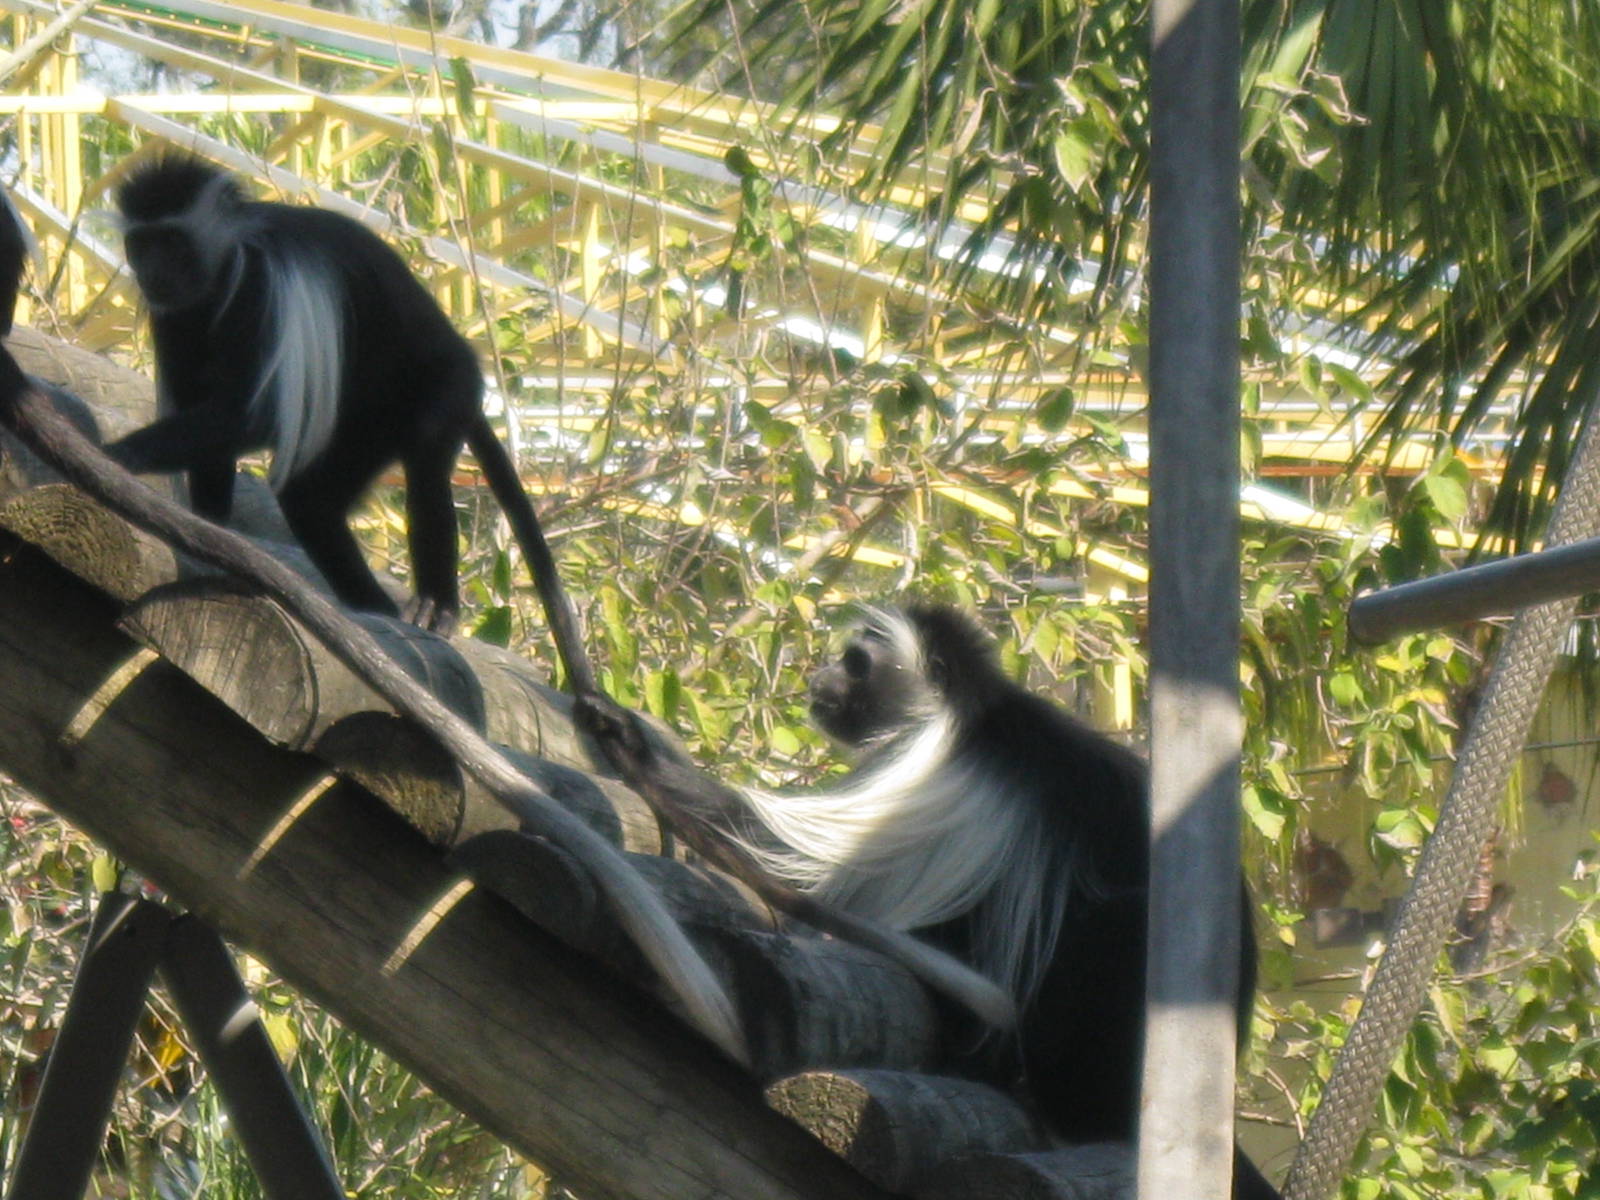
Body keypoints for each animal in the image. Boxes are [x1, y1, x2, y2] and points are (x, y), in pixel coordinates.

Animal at [104, 155, 586, 670]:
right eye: (141, 244)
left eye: (171, 241)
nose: (152, 270)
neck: (227, 264)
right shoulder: (175, 316)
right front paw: (207, 528)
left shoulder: (266, 286)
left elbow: (254, 414)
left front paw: (120, 454)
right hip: (365, 424)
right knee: (311, 499)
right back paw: (371, 609)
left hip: (443, 383)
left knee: (425, 462)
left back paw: (435, 607)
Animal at [580, 604, 1284, 1200]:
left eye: (856, 661)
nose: (818, 676)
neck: (965, 706)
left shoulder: (922, 768)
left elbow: (778, 850)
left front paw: (630, 743)